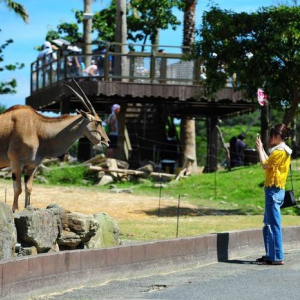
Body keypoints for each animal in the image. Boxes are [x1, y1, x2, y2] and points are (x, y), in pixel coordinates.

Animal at [0, 78, 109, 212]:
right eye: (98, 122)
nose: (106, 141)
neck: (37, 127)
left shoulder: (31, 167)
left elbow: (28, 189)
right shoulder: (16, 163)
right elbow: (18, 189)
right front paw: (15, 211)